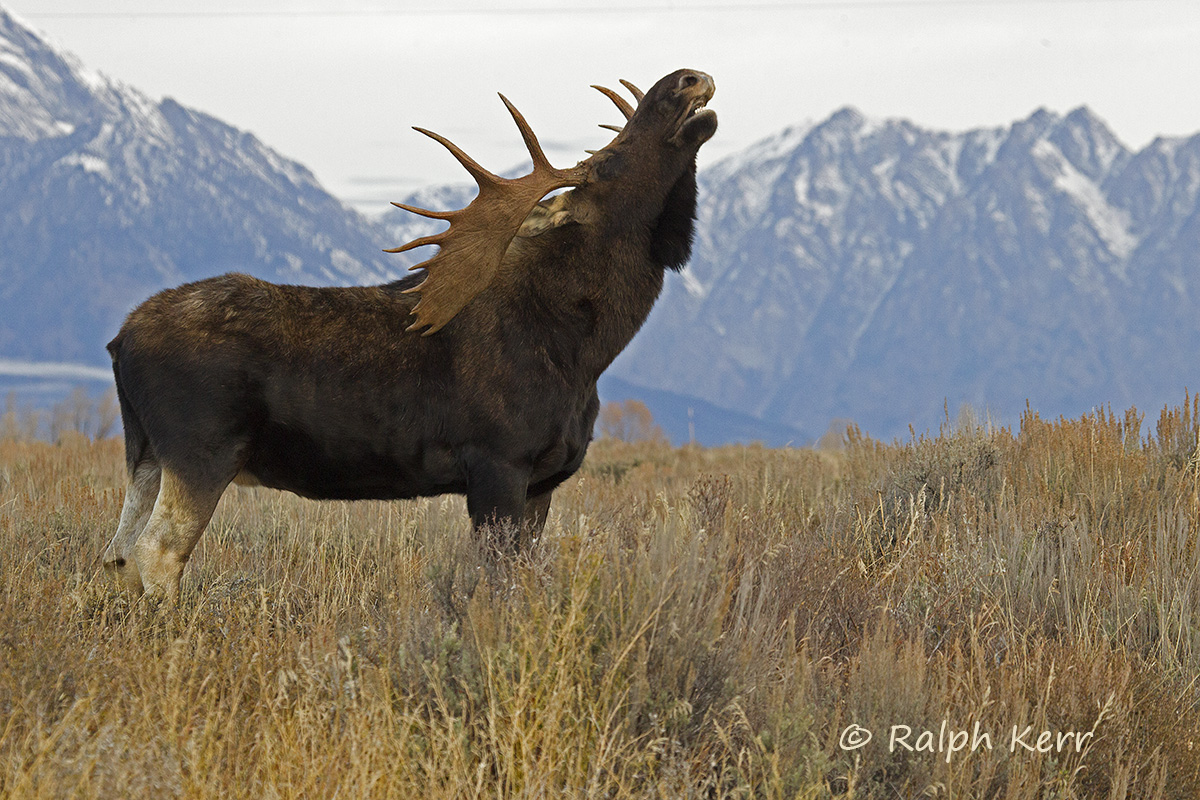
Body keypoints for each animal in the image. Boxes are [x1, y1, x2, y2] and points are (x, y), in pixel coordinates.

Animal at [101, 69, 717, 602]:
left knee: (117, 555)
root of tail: (119, 339)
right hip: (202, 449)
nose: (685, 78)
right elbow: (499, 584)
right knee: (157, 553)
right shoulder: (497, 463)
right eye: (609, 160)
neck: (583, 351)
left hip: (147, 452)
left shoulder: (543, 480)